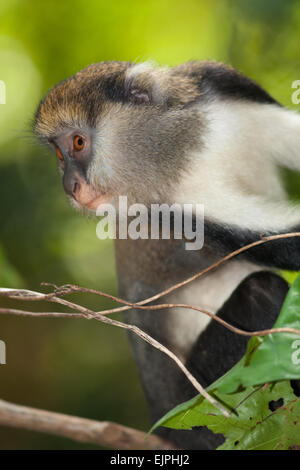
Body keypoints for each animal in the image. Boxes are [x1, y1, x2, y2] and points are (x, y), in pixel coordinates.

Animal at [34, 60, 300, 450]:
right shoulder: (167, 206)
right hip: (195, 414)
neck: (180, 150)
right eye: (58, 154)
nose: (70, 186)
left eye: (78, 143)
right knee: (260, 290)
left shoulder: (218, 83)